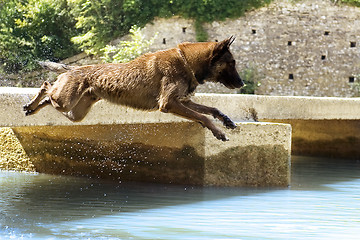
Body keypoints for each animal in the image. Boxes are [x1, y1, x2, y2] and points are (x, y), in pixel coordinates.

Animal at [23, 36, 243, 141]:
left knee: (49, 97)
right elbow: (204, 116)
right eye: (231, 62)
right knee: (46, 86)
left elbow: (211, 110)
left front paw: (227, 121)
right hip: (65, 101)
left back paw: (33, 108)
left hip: (75, 113)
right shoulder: (169, 104)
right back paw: (30, 104)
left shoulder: (183, 101)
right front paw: (219, 132)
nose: (242, 84)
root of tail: (74, 68)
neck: (186, 62)